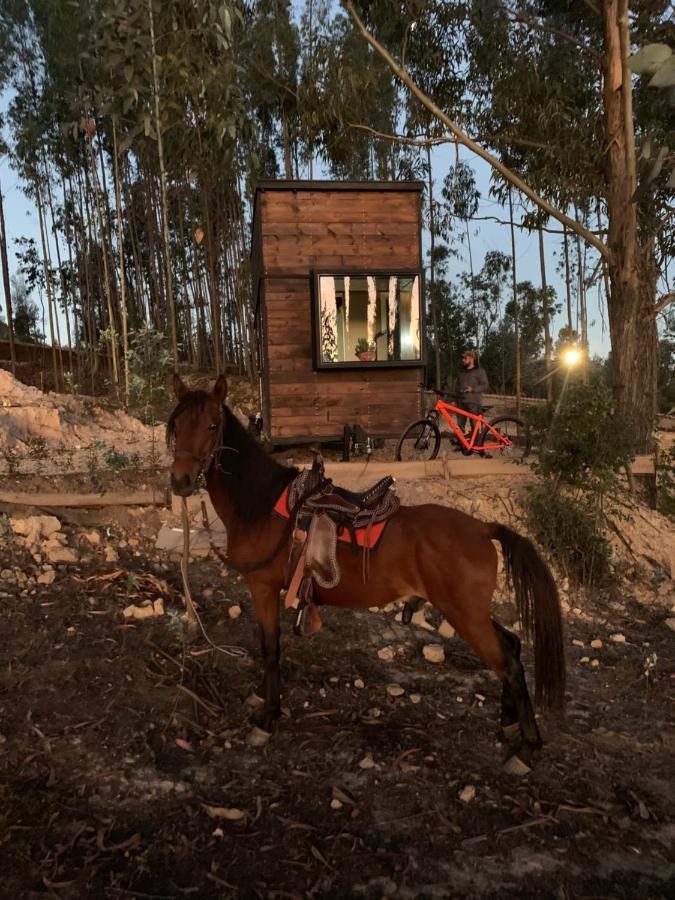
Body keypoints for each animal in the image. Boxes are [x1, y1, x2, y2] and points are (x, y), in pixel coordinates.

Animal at [168, 376, 564, 768]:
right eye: (176, 425)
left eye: (213, 426)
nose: (181, 481)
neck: (263, 507)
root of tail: (483, 528)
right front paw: (261, 698)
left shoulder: (262, 587)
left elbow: (270, 649)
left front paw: (267, 717)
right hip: (471, 612)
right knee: (512, 646)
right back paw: (509, 723)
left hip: (466, 615)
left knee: (509, 665)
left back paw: (528, 747)